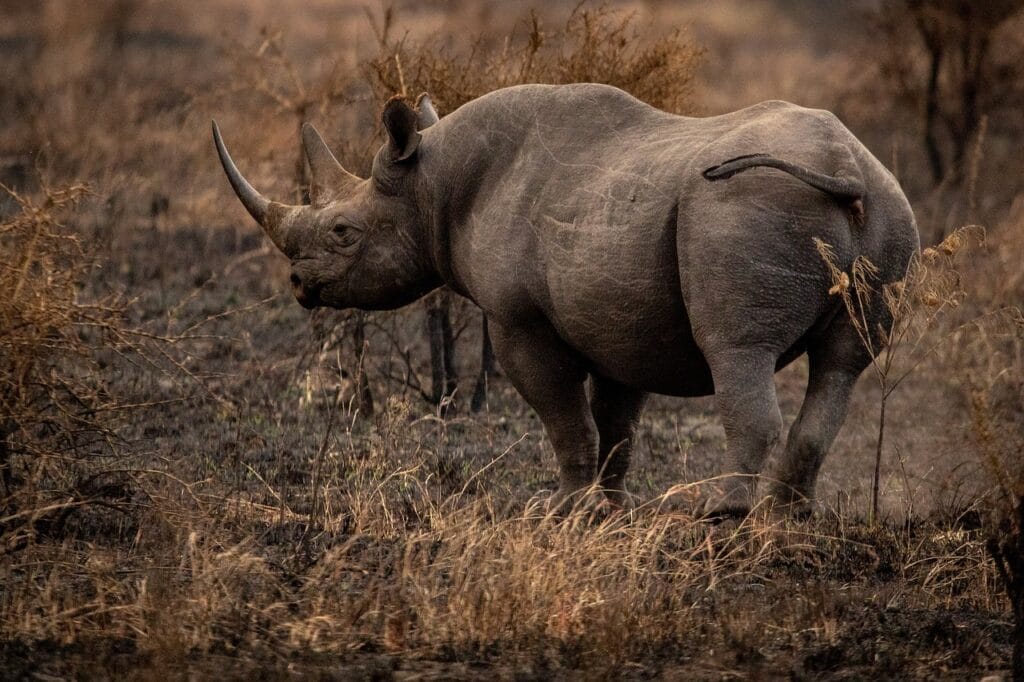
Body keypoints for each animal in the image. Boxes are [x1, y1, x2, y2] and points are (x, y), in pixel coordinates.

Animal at [213, 83, 919, 516]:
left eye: (343, 232)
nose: (299, 286)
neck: (432, 185)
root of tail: (846, 167)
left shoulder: (518, 319)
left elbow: (563, 415)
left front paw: (563, 507)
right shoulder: (619, 317)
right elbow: (616, 422)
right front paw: (609, 507)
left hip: (744, 208)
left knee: (736, 349)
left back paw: (721, 515)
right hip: (890, 208)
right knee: (842, 365)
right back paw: (786, 518)